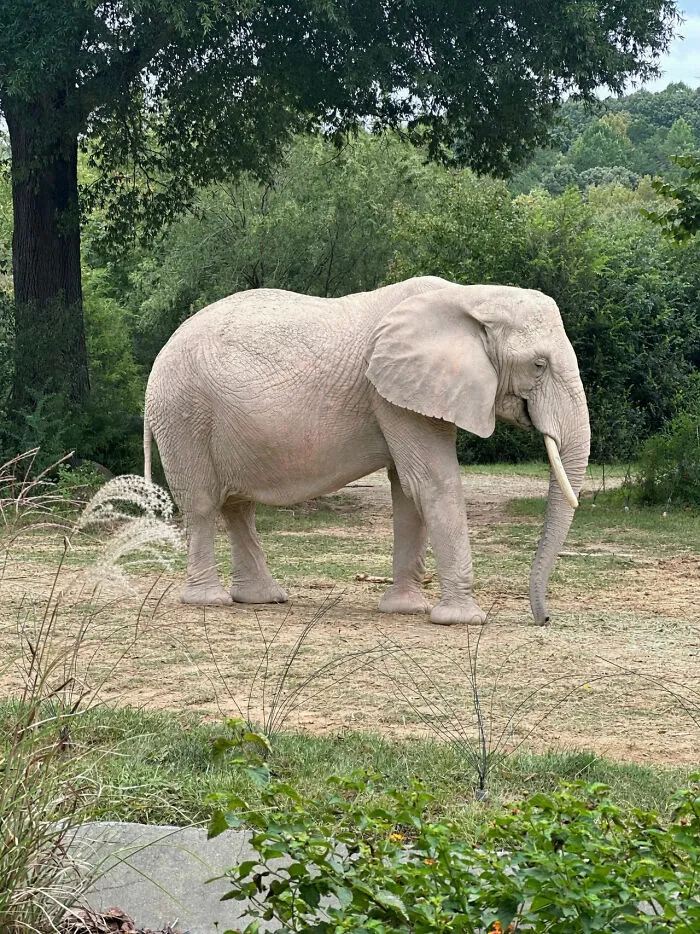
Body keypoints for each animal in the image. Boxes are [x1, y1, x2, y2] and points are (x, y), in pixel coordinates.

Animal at [144, 276, 590, 626]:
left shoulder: (407, 391)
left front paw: (405, 610)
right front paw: (463, 620)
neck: (471, 296)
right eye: (538, 365)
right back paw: (210, 601)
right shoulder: (390, 393)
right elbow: (432, 482)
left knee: (238, 506)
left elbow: (408, 490)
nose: (544, 619)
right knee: (203, 503)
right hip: (183, 413)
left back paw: (263, 598)